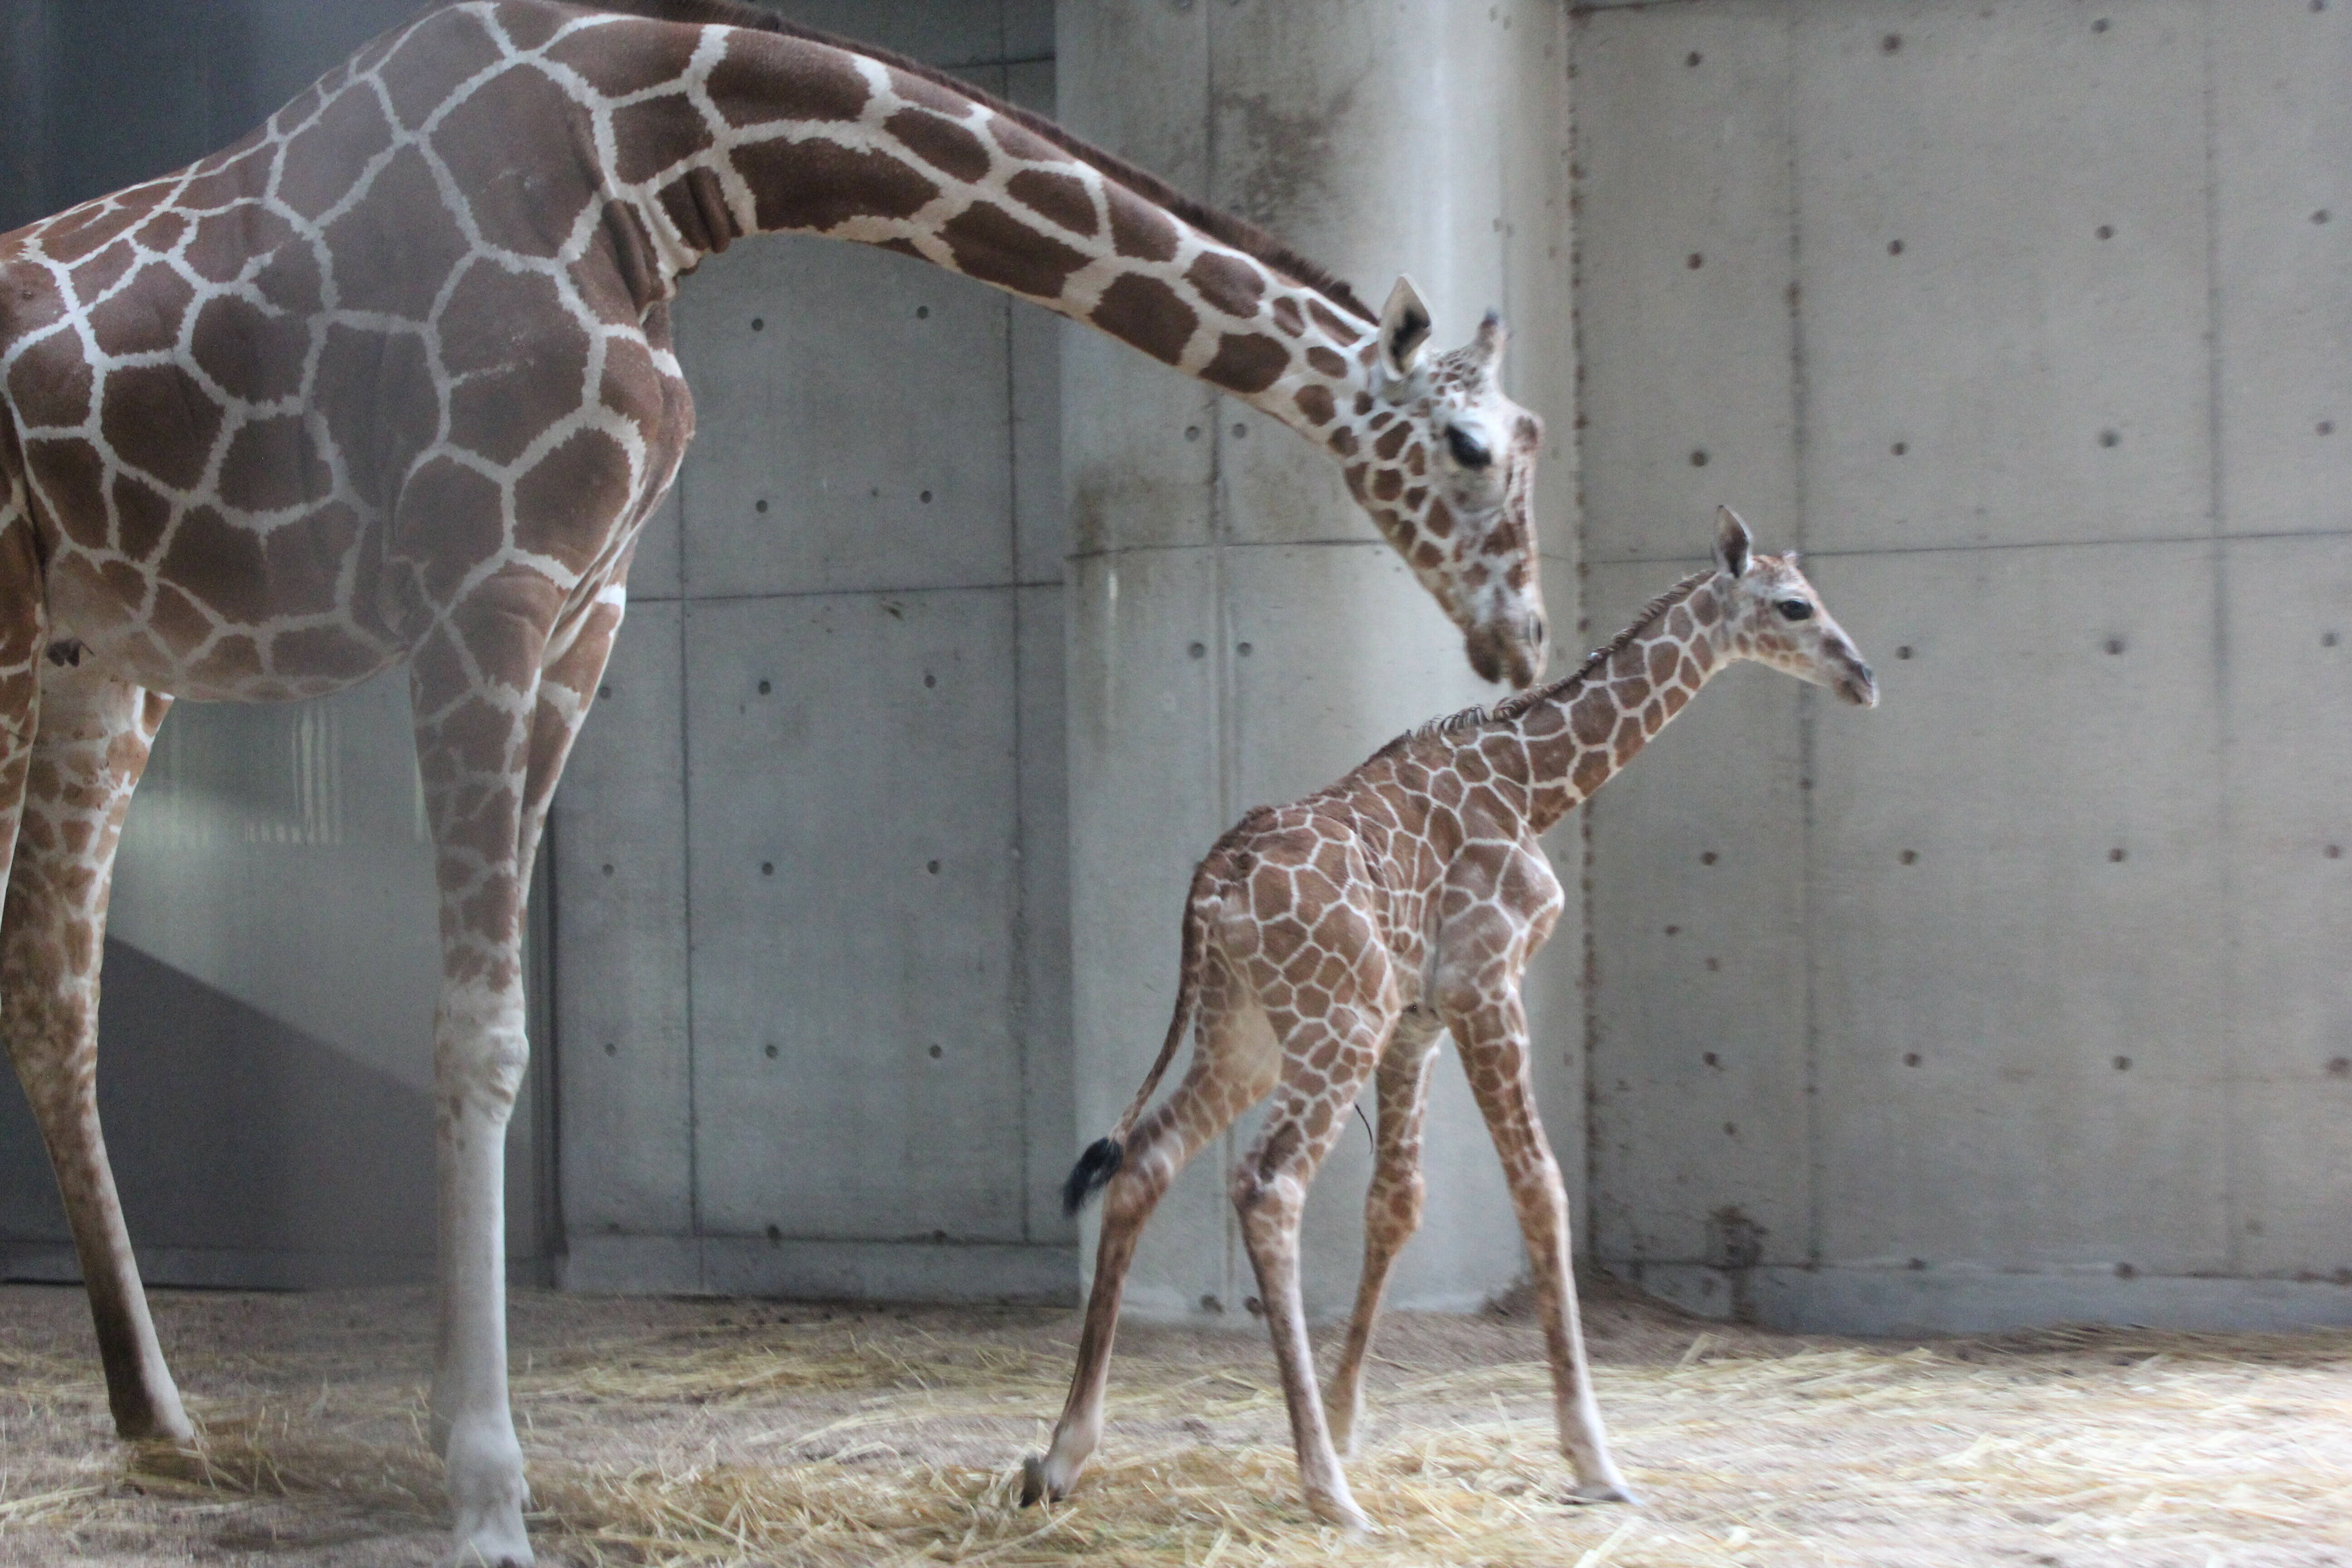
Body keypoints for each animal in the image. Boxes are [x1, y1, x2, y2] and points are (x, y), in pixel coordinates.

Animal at [0, 3, 1562, 1561]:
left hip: (102, 672)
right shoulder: (482, 597)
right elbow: (477, 1035)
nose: (1524, 637)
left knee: (54, 1001)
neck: (653, 166)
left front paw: (454, 1435)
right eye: (1469, 446)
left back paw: (160, 1416)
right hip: (20, 645)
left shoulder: (585, 615)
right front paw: (488, 1491)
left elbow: (488, 1028)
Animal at [1025, 510, 1872, 1523]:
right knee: (1267, 1186)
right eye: (1794, 605)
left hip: (1249, 1036)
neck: (1531, 782)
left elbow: (1397, 1203)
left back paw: (1063, 1457)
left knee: (1147, 1162)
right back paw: (1324, 1490)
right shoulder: (1484, 984)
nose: (1863, 676)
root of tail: (1211, 885)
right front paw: (1592, 1459)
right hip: (1332, 1025)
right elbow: (1540, 1187)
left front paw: (1349, 1418)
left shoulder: (1416, 1022)